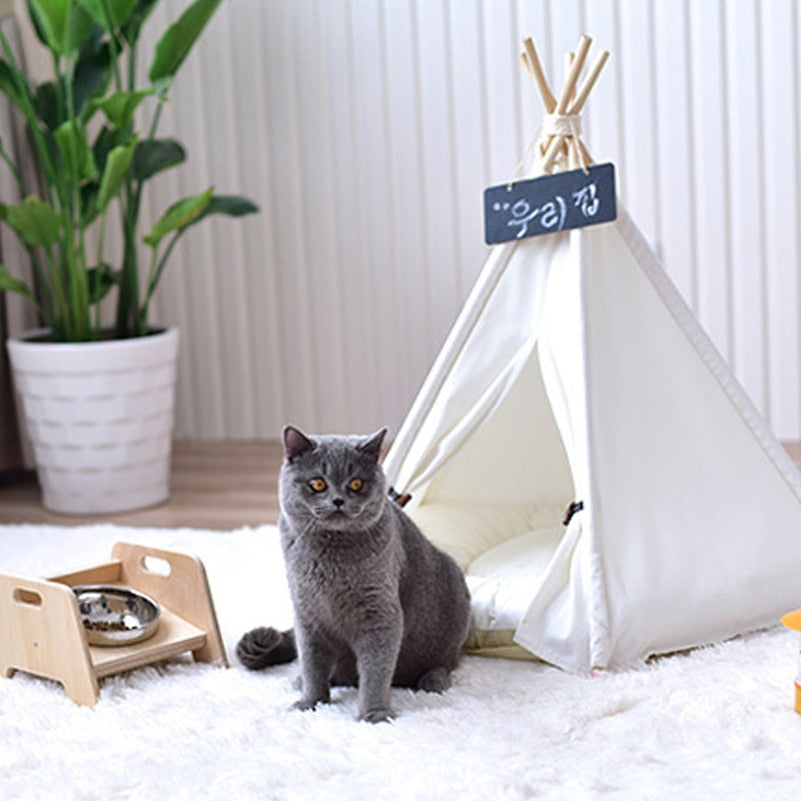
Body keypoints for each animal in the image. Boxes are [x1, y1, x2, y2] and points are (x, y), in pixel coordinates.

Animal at [234, 428, 472, 720]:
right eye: (317, 483)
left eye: (357, 483)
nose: (338, 501)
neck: (330, 557)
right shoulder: (307, 614)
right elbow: (312, 664)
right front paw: (310, 702)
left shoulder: (380, 613)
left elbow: (375, 671)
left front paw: (375, 715)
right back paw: (302, 681)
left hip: (455, 601)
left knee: (446, 662)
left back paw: (432, 681)